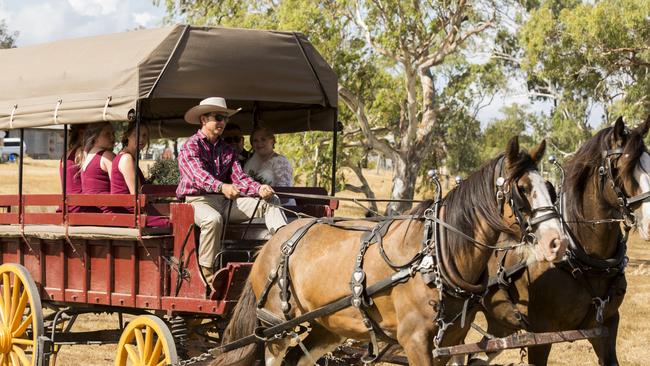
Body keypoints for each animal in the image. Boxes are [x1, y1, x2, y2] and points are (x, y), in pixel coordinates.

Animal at [211, 137, 560, 366]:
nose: (557, 241)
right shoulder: (416, 342)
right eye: (522, 190)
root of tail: (273, 240)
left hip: (327, 327)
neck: (434, 258)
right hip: (276, 326)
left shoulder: (452, 342)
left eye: (550, 188)